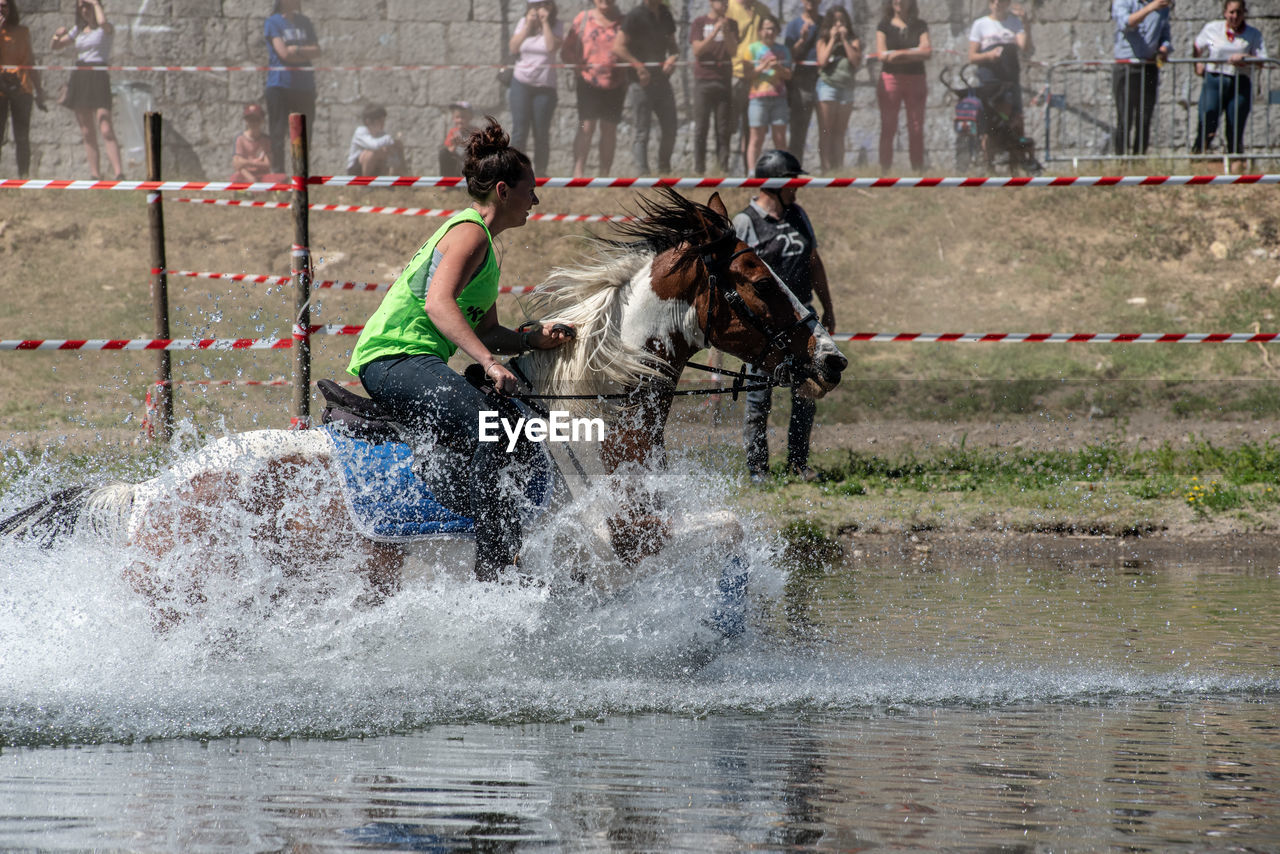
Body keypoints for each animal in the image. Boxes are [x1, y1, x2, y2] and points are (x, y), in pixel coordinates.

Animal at [2, 190, 849, 637]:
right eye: (756, 277)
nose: (831, 358)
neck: (588, 422)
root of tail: (146, 496)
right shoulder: (619, 541)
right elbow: (729, 534)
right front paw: (719, 636)